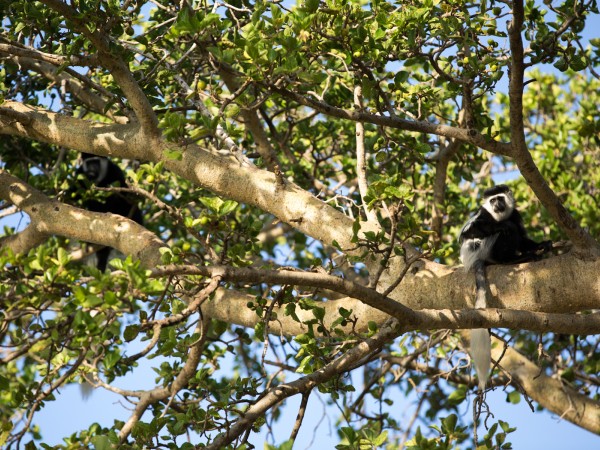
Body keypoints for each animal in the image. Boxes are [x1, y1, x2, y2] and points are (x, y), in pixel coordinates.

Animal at [460, 185, 552, 388]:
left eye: (500, 198)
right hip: (486, 248)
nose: (497, 205)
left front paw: (542, 244)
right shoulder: (483, 215)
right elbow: (470, 232)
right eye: (492, 200)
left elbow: (523, 236)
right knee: (503, 234)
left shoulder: (515, 214)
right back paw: (515, 259)